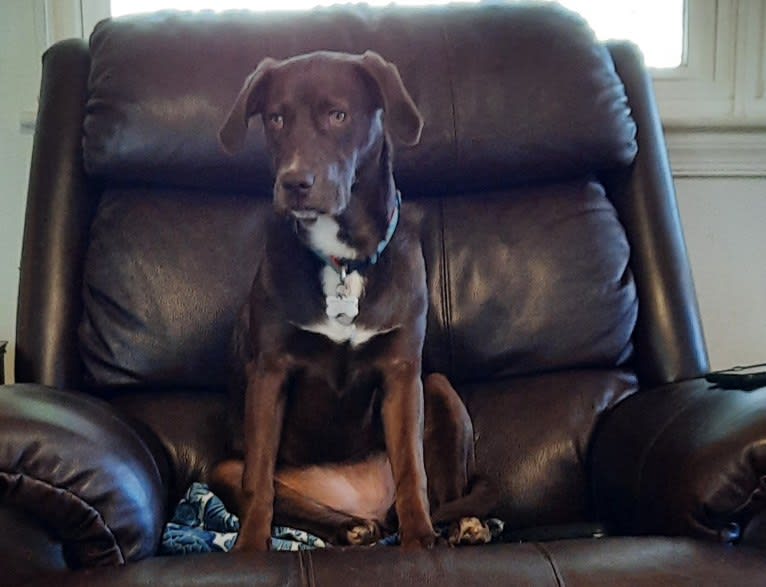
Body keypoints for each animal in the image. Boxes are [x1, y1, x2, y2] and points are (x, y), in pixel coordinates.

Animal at [213, 50, 496, 552]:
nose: (294, 182)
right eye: (276, 118)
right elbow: (258, 482)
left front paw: (420, 541)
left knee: (443, 493)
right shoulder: (269, 373)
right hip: (223, 466)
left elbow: (412, 471)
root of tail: (365, 501)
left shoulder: (402, 373)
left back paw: (462, 526)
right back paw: (351, 527)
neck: (343, 259)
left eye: (338, 115)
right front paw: (249, 550)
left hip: (438, 387)